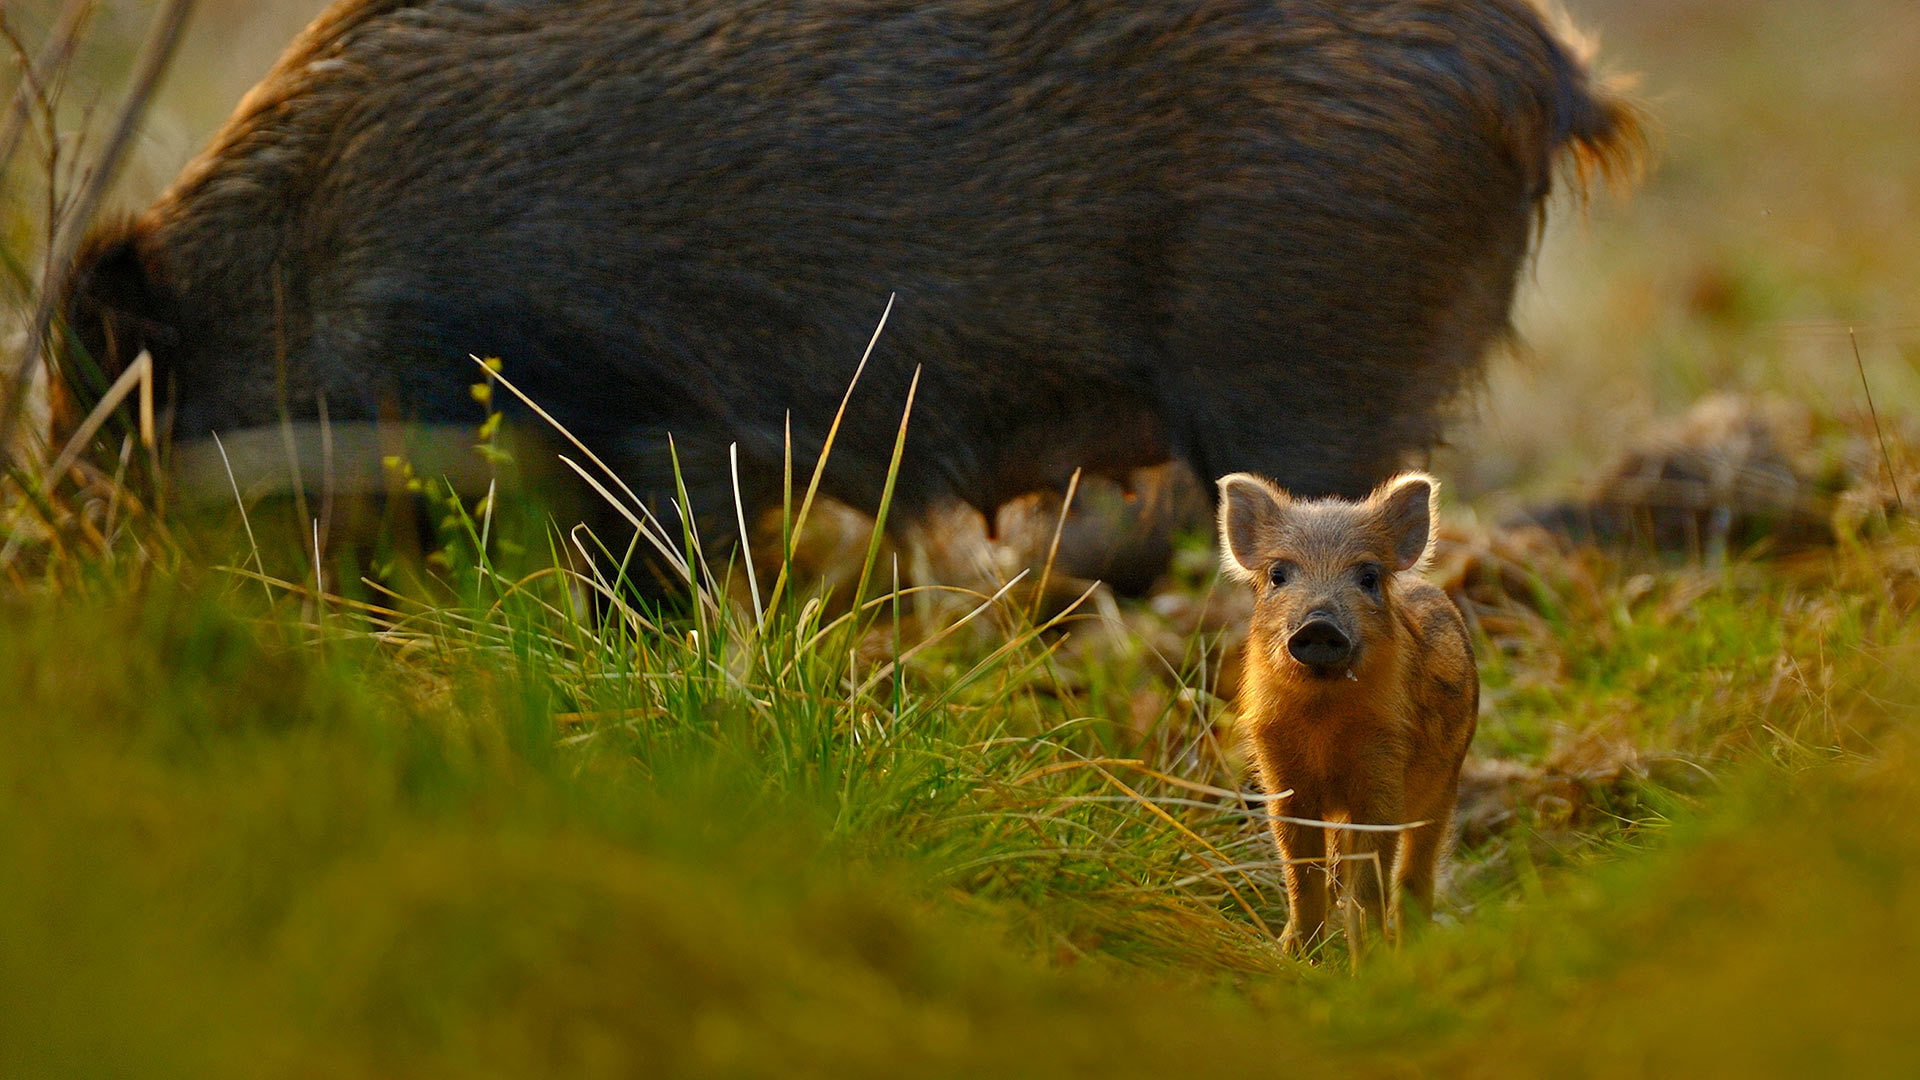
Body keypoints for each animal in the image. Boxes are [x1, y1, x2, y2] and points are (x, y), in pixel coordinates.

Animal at [1217, 470, 1477, 956]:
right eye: (1277, 575)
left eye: (1368, 576)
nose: (1318, 623)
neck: (1323, 718)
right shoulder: (1281, 774)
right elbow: (1301, 875)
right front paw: (1294, 957)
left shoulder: (1383, 771)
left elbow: (1370, 882)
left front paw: (1372, 962)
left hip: (1444, 786)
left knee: (1415, 872)